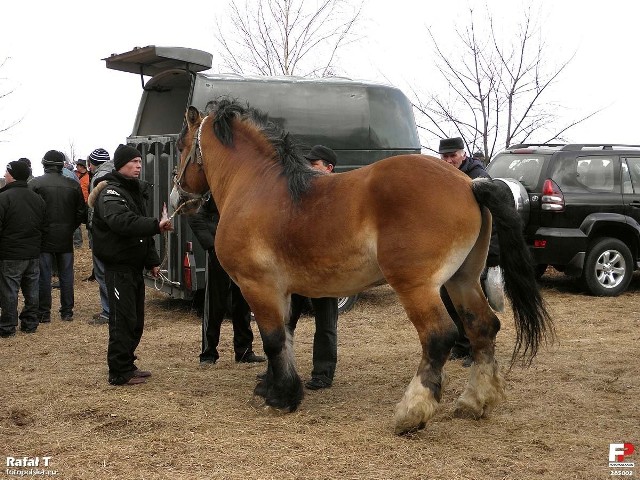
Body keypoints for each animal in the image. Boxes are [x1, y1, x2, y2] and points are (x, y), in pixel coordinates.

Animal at [171, 98, 556, 436]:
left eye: (179, 145)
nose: (177, 196)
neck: (257, 186)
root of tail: (470, 184)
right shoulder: (286, 291)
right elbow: (287, 338)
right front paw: (274, 387)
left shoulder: (258, 286)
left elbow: (274, 340)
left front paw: (280, 398)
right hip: (462, 280)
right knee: (483, 327)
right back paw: (474, 402)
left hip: (417, 287)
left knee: (439, 336)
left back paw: (411, 413)